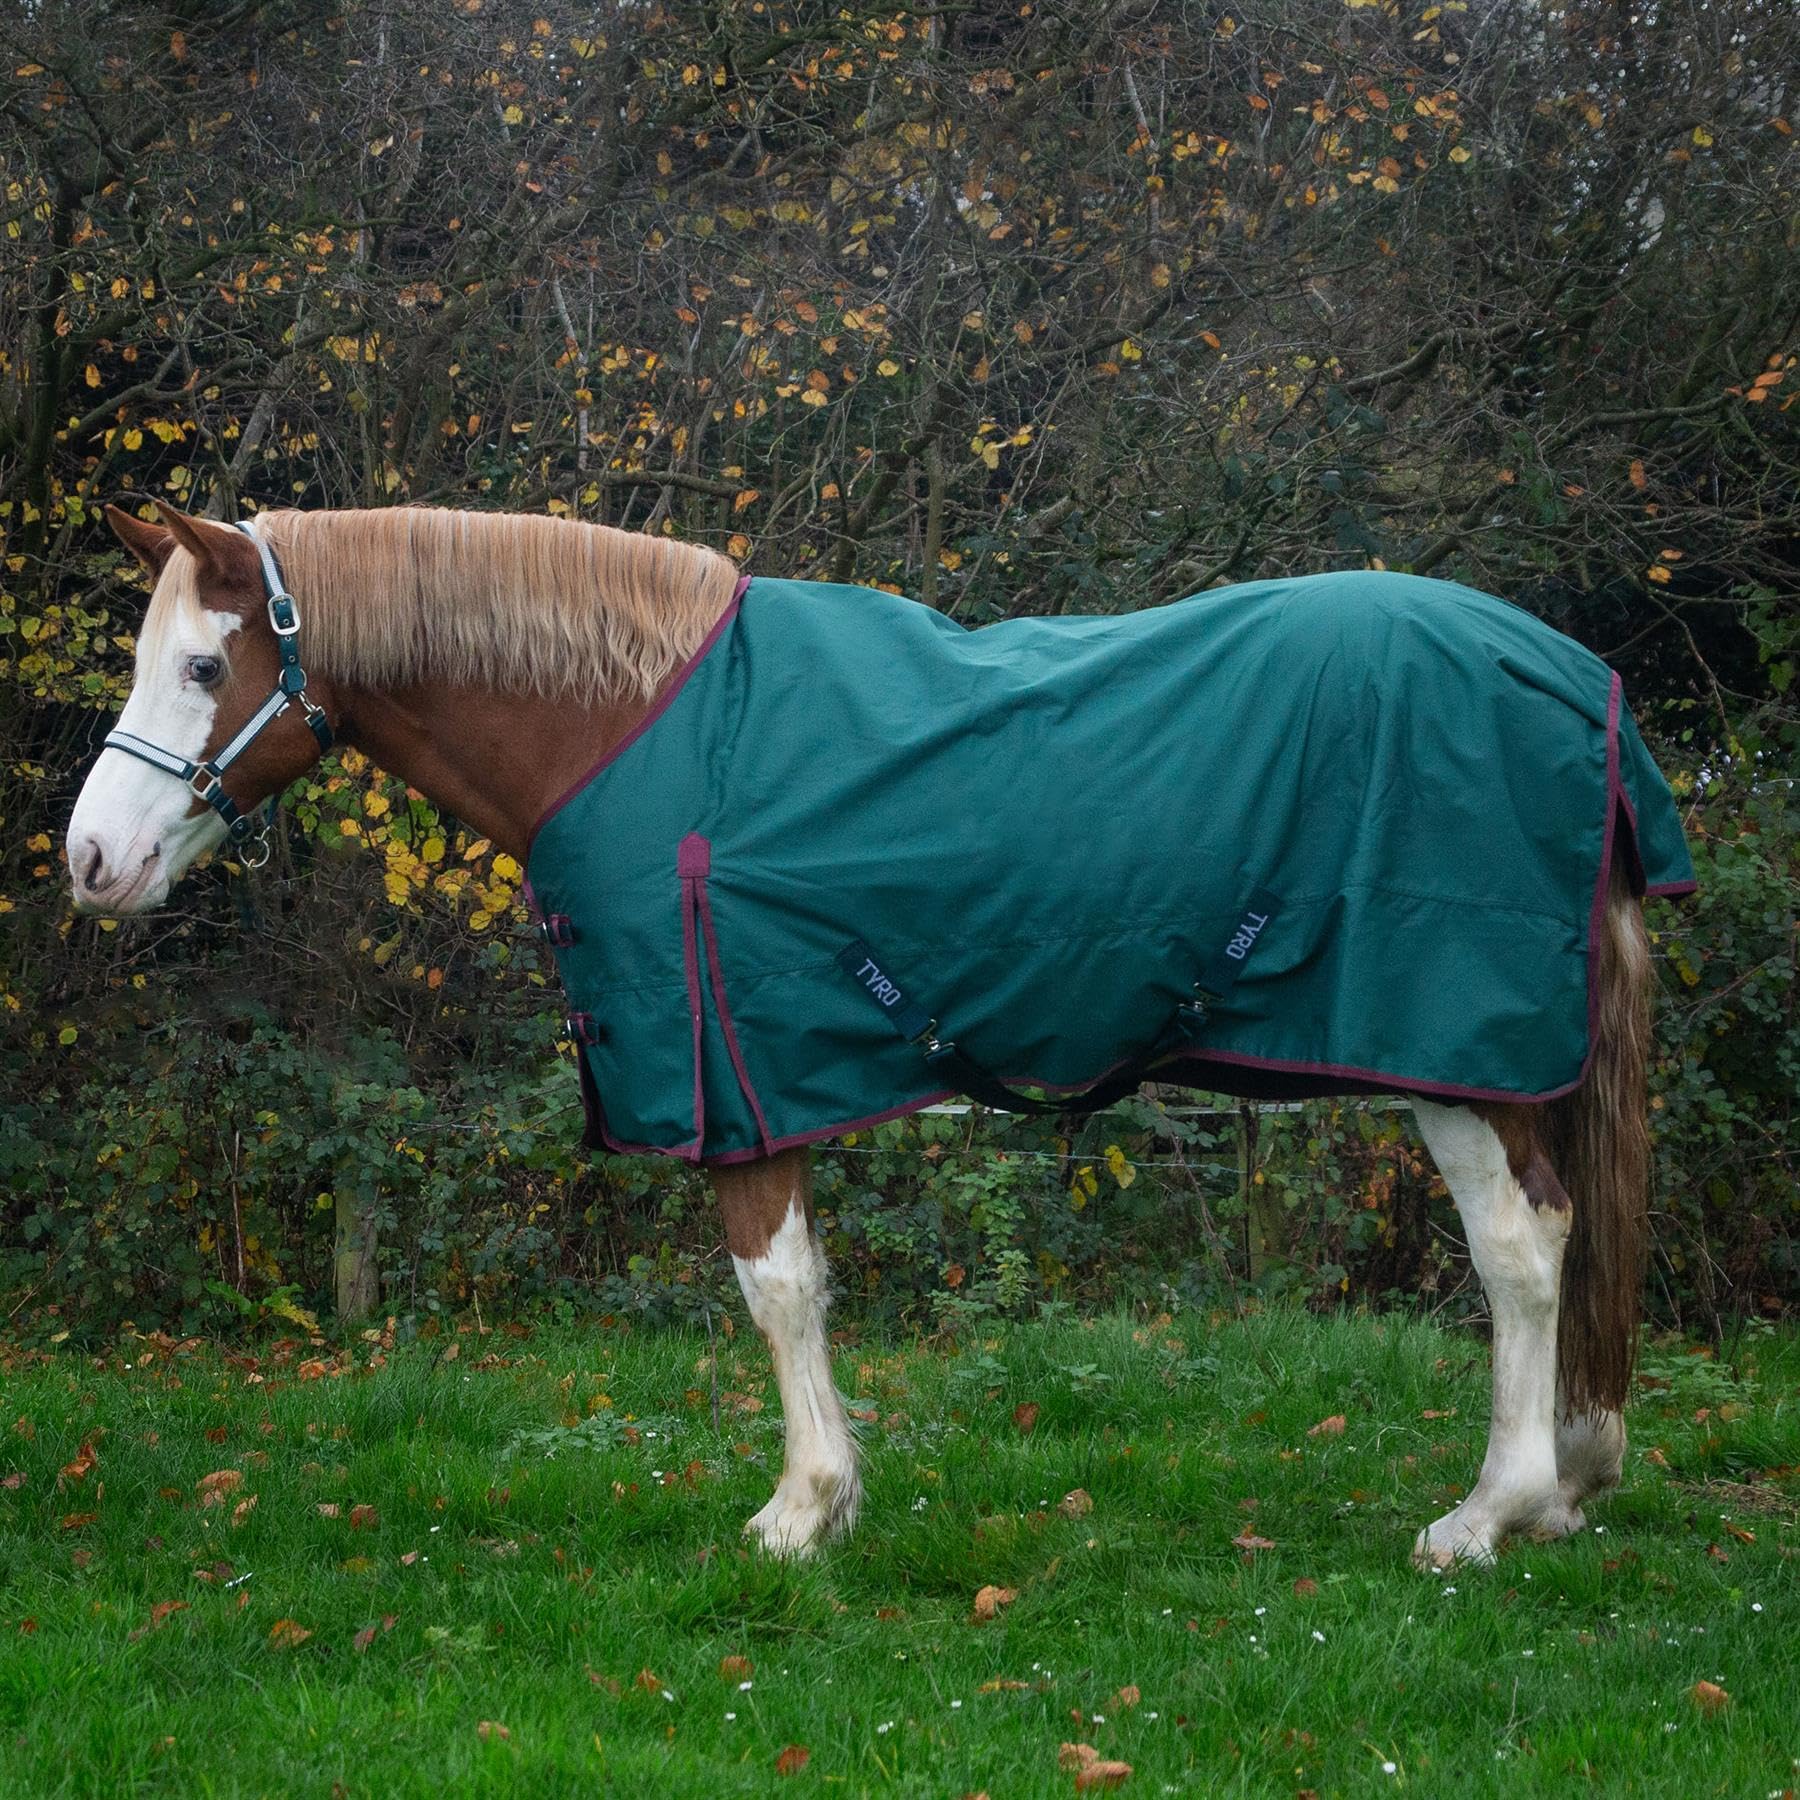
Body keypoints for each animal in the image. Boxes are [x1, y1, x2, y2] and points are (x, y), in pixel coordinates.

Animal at [66, 500, 1692, 1570]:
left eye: (204, 669)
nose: (89, 861)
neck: (636, 725)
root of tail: (1574, 679)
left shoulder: (735, 1071)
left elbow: (776, 1288)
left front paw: (800, 1513)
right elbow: (802, 1288)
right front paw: (828, 1497)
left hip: (1456, 1056)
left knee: (1524, 1249)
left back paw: (1488, 1515)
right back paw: (1569, 1482)